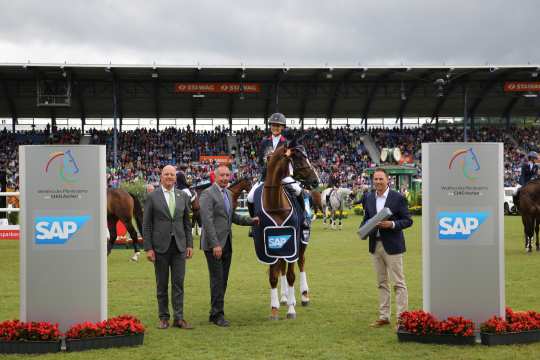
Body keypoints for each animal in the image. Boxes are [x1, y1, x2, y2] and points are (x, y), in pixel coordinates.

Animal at [254, 139, 320, 320]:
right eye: (299, 159)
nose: (316, 180)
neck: (275, 203)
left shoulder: (293, 241)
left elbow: (291, 275)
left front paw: (291, 310)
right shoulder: (269, 245)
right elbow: (273, 276)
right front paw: (274, 309)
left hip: (302, 240)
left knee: (301, 262)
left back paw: (303, 296)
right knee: (281, 267)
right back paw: (284, 297)